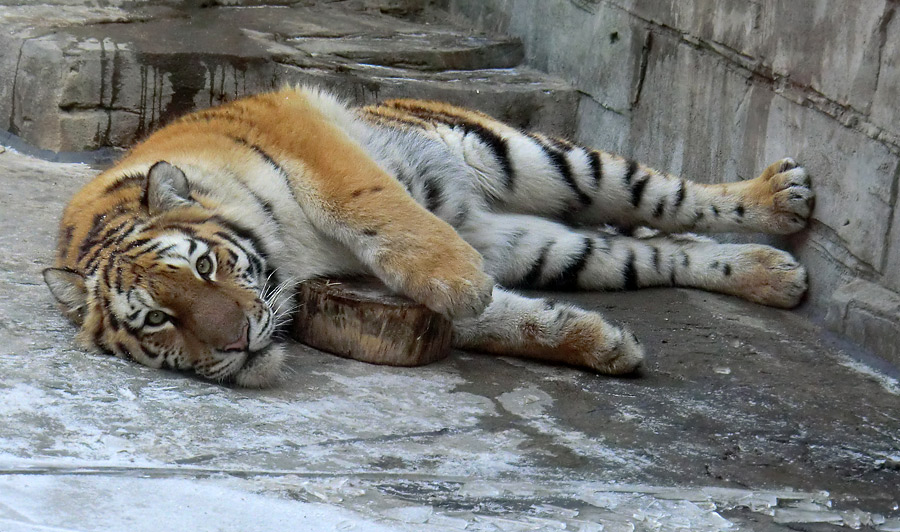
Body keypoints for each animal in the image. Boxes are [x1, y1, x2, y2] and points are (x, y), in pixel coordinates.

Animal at [42, 86, 812, 386]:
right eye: (157, 320)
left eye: (205, 267)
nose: (237, 343)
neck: (289, 266)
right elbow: (507, 319)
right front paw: (600, 344)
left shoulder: (305, 133)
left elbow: (370, 202)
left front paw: (458, 280)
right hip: (547, 246)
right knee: (655, 251)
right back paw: (772, 275)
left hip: (532, 158)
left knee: (669, 197)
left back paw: (781, 200)